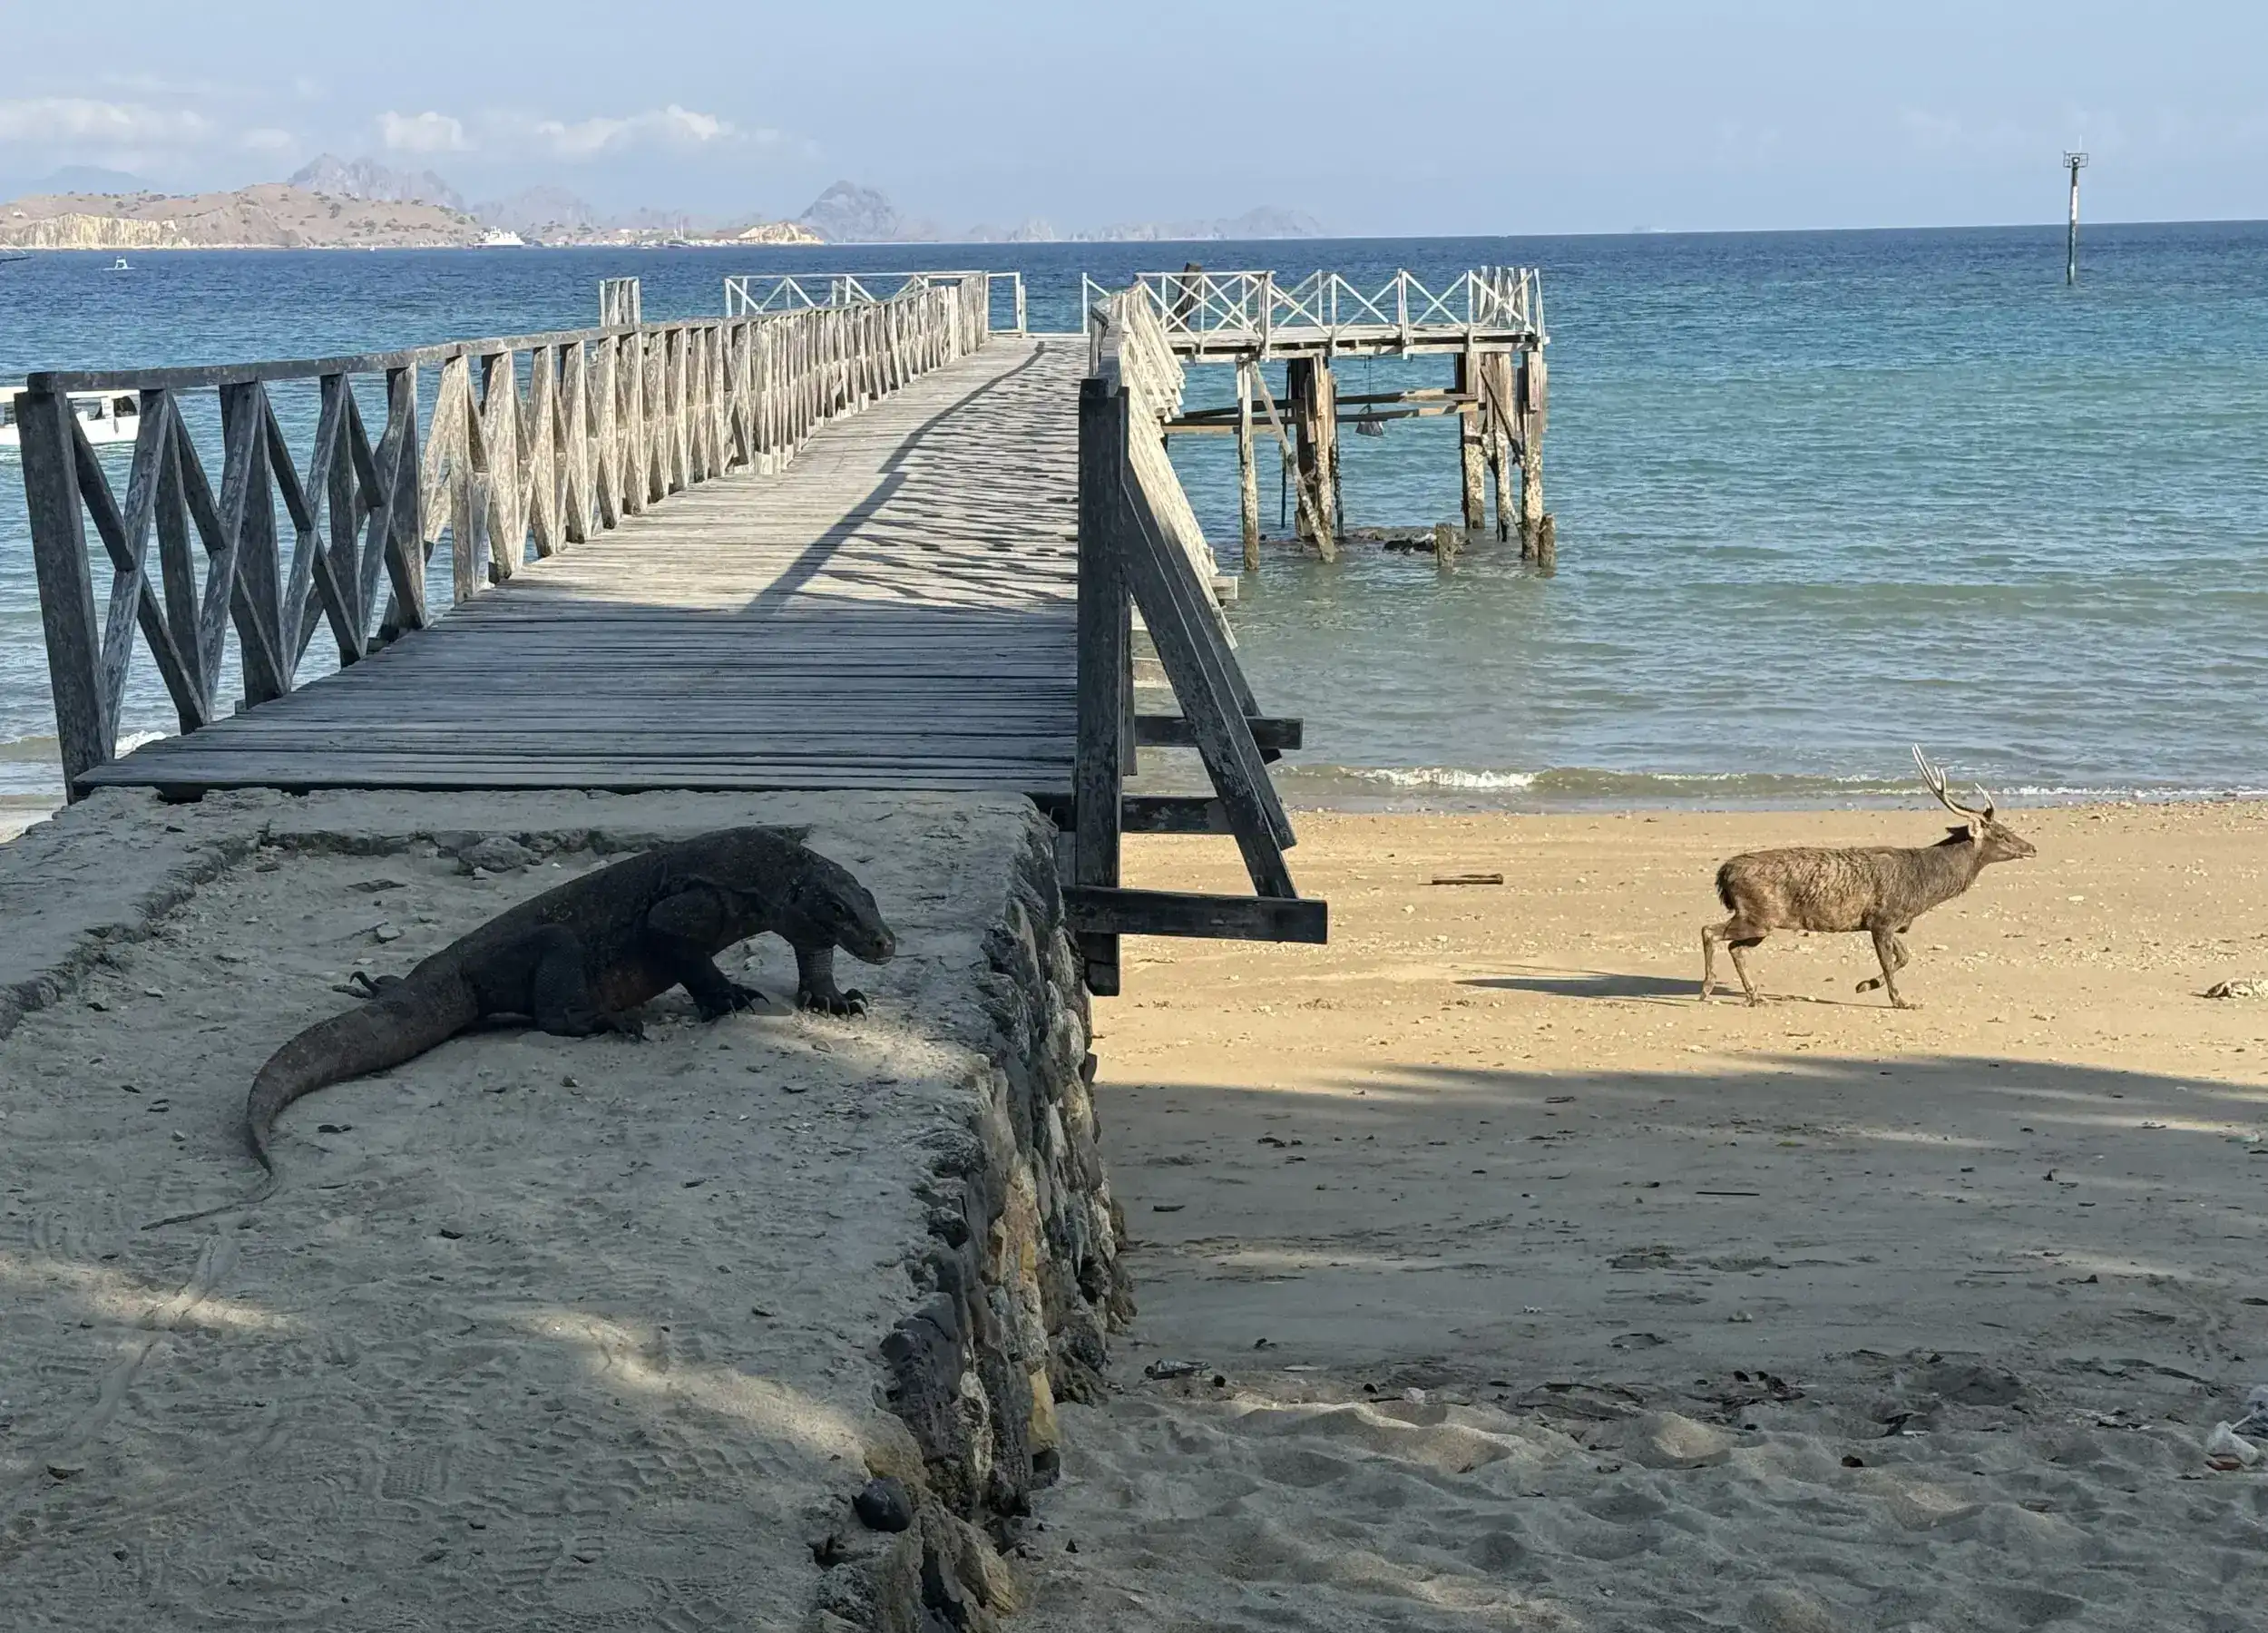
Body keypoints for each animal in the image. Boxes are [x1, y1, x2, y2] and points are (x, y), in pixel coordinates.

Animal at [1701, 747, 2036, 1009]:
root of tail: (1724, 872)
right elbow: (1889, 962)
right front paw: (1900, 1000)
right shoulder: (1882, 919)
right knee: (1710, 931)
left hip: (1762, 921)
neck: (1924, 887)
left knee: (1736, 948)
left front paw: (1864, 985)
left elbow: (1905, 956)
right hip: (1758, 914)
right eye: (2002, 834)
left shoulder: (1893, 923)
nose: (2032, 848)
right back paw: (1708, 988)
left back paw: (1755, 995)